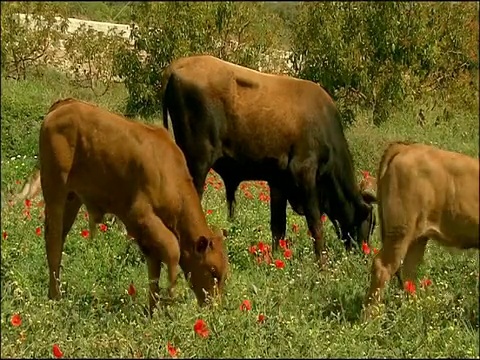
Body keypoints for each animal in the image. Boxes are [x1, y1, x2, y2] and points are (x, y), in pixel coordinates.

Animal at [37, 97, 229, 314]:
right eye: (212, 271)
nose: (215, 306)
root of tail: (64, 105)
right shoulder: (140, 214)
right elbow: (173, 249)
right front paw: (171, 296)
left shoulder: (145, 233)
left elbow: (155, 266)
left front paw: (154, 309)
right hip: (55, 193)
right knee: (53, 241)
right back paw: (55, 297)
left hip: (72, 198)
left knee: (59, 238)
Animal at [161, 54, 376, 262]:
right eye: (371, 223)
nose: (363, 255)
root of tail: (177, 66)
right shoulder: (305, 174)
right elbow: (315, 224)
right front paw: (321, 263)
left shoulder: (278, 182)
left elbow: (278, 227)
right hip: (197, 163)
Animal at [362, 142, 478, 320]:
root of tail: (407, 147)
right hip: (400, 232)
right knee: (383, 266)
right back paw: (370, 318)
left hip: (416, 237)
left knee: (409, 271)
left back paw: (415, 310)